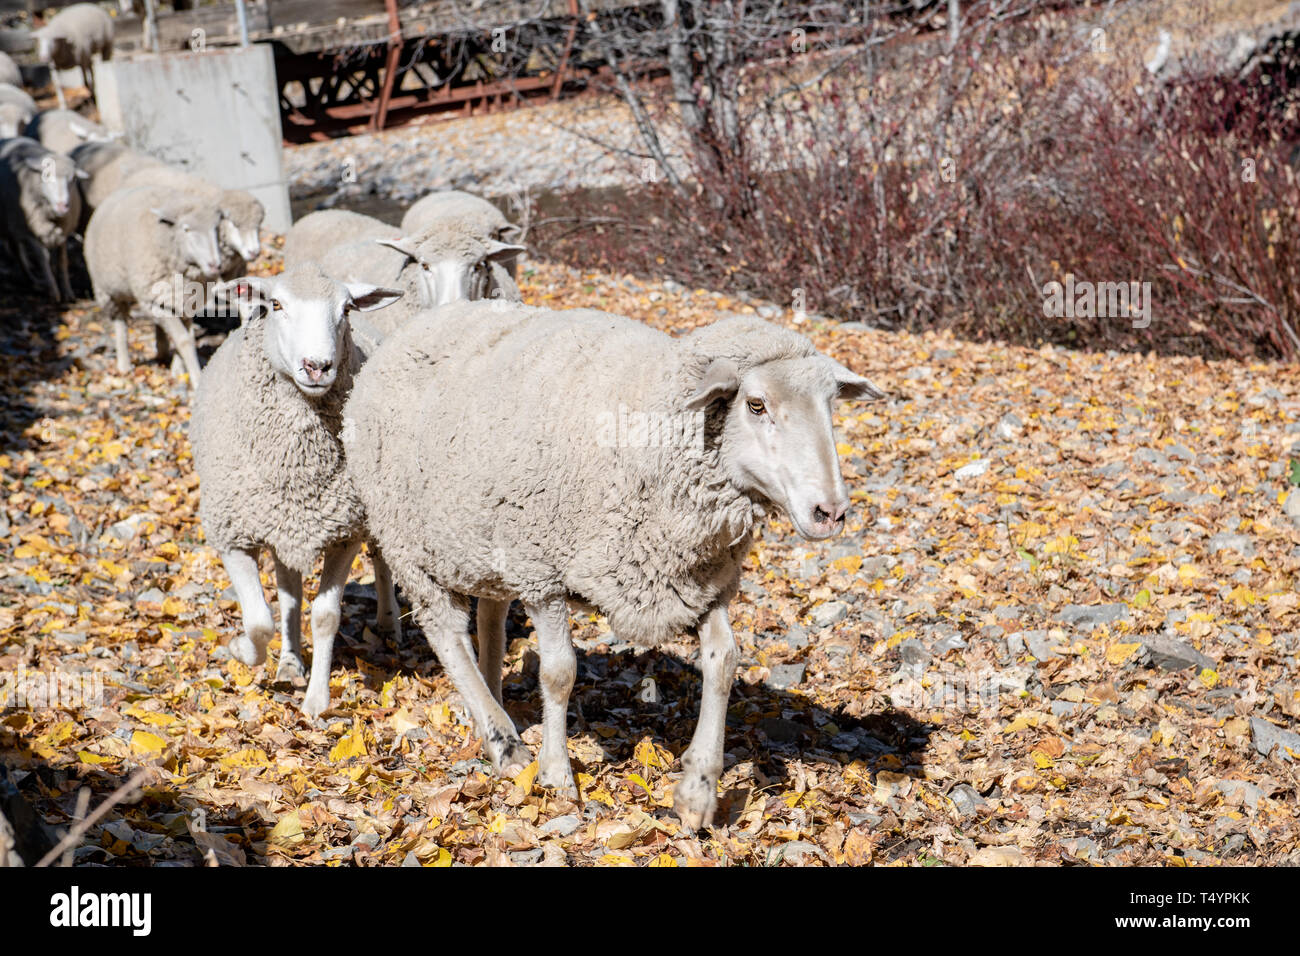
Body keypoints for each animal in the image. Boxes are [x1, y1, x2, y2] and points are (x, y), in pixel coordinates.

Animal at [0, 136, 86, 300]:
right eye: (47, 175)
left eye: (73, 179)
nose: (63, 205)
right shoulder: (30, 232)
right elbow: (42, 258)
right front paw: (53, 291)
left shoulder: (63, 233)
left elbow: (62, 261)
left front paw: (68, 293)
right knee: (18, 251)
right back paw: (33, 279)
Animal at [83, 183, 222, 382]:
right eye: (186, 229)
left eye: (216, 229)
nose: (215, 265)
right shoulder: (155, 301)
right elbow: (184, 340)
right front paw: (196, 378)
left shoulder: (184, 300)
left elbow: (187, 335)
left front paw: (179, 369)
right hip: (108, 291)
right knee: (120, 323)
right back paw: (124, 364)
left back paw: (162, 351)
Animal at [189, 267, 403, 717]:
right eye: (275, 305)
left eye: (346, 309)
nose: (317, 366)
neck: (298, 464)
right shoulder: (233, 533)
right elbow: (260, 619)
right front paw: (242, 651)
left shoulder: (345, 532)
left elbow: (325, 616)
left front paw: (317, 700)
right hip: (280, 525)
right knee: (289, 592)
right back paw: (289, 662)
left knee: (381, 559)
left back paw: (389, 622)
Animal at [343, 300, 883, 832]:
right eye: (755, 404)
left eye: (830, 404)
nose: (831, 511)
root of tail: (421, 321)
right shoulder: (543, 571)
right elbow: (559, 673)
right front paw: (557, 775)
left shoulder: (697, 579)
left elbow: (724, 661)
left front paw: (698, 791)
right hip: (412, 543)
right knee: (447, 634)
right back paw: (503, 741)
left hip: (486, 543)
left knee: (489, 617)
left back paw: (494, 703)